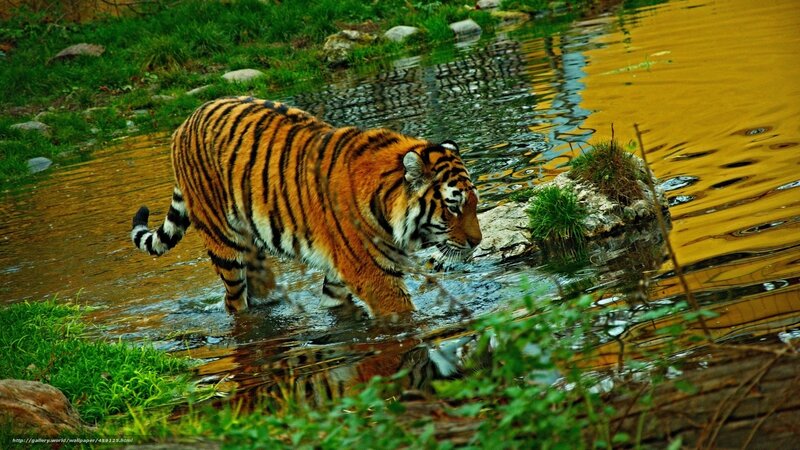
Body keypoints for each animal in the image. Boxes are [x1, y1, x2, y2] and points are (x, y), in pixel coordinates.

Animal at [130, 96, 482, 317]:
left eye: (474, 204)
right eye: (453, 207)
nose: (477, 242)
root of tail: (184, 123)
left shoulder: (341, 273)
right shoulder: (374, 274)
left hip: (252, 248)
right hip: (224, 244)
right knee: (234, 303)